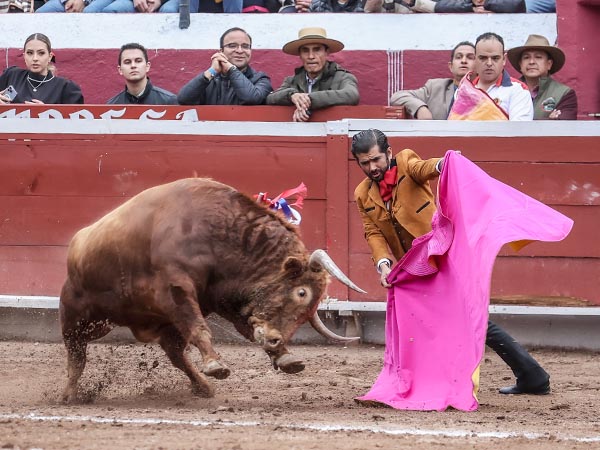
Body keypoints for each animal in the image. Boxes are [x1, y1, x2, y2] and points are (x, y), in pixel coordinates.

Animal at [61, 178, 364, 402]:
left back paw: (202, 387)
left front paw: (285, 357)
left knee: (174, 353)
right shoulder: (176, 289)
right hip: (79, 315)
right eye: (301, 293)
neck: (216, 233)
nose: (276, 340)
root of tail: (77, 242)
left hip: (159, 323)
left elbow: (247, 326)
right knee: (76, 353)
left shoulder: (229, 298)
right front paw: (216, 365)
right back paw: (69, 395)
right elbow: (200, 328)